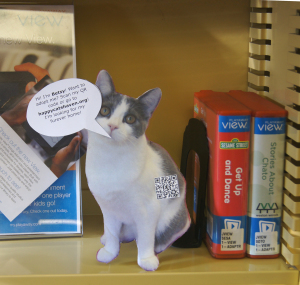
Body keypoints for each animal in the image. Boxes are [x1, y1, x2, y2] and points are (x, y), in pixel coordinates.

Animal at [85, 70, 191, 270]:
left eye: (130, 119)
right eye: (105, 111)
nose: (113, 125)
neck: (111, 159)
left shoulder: (148, 209)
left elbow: (146, 237)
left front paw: (147, 259)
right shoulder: (107, 206)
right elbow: (111, 229)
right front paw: (110, 251)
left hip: (173, 216)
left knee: (174, 229)